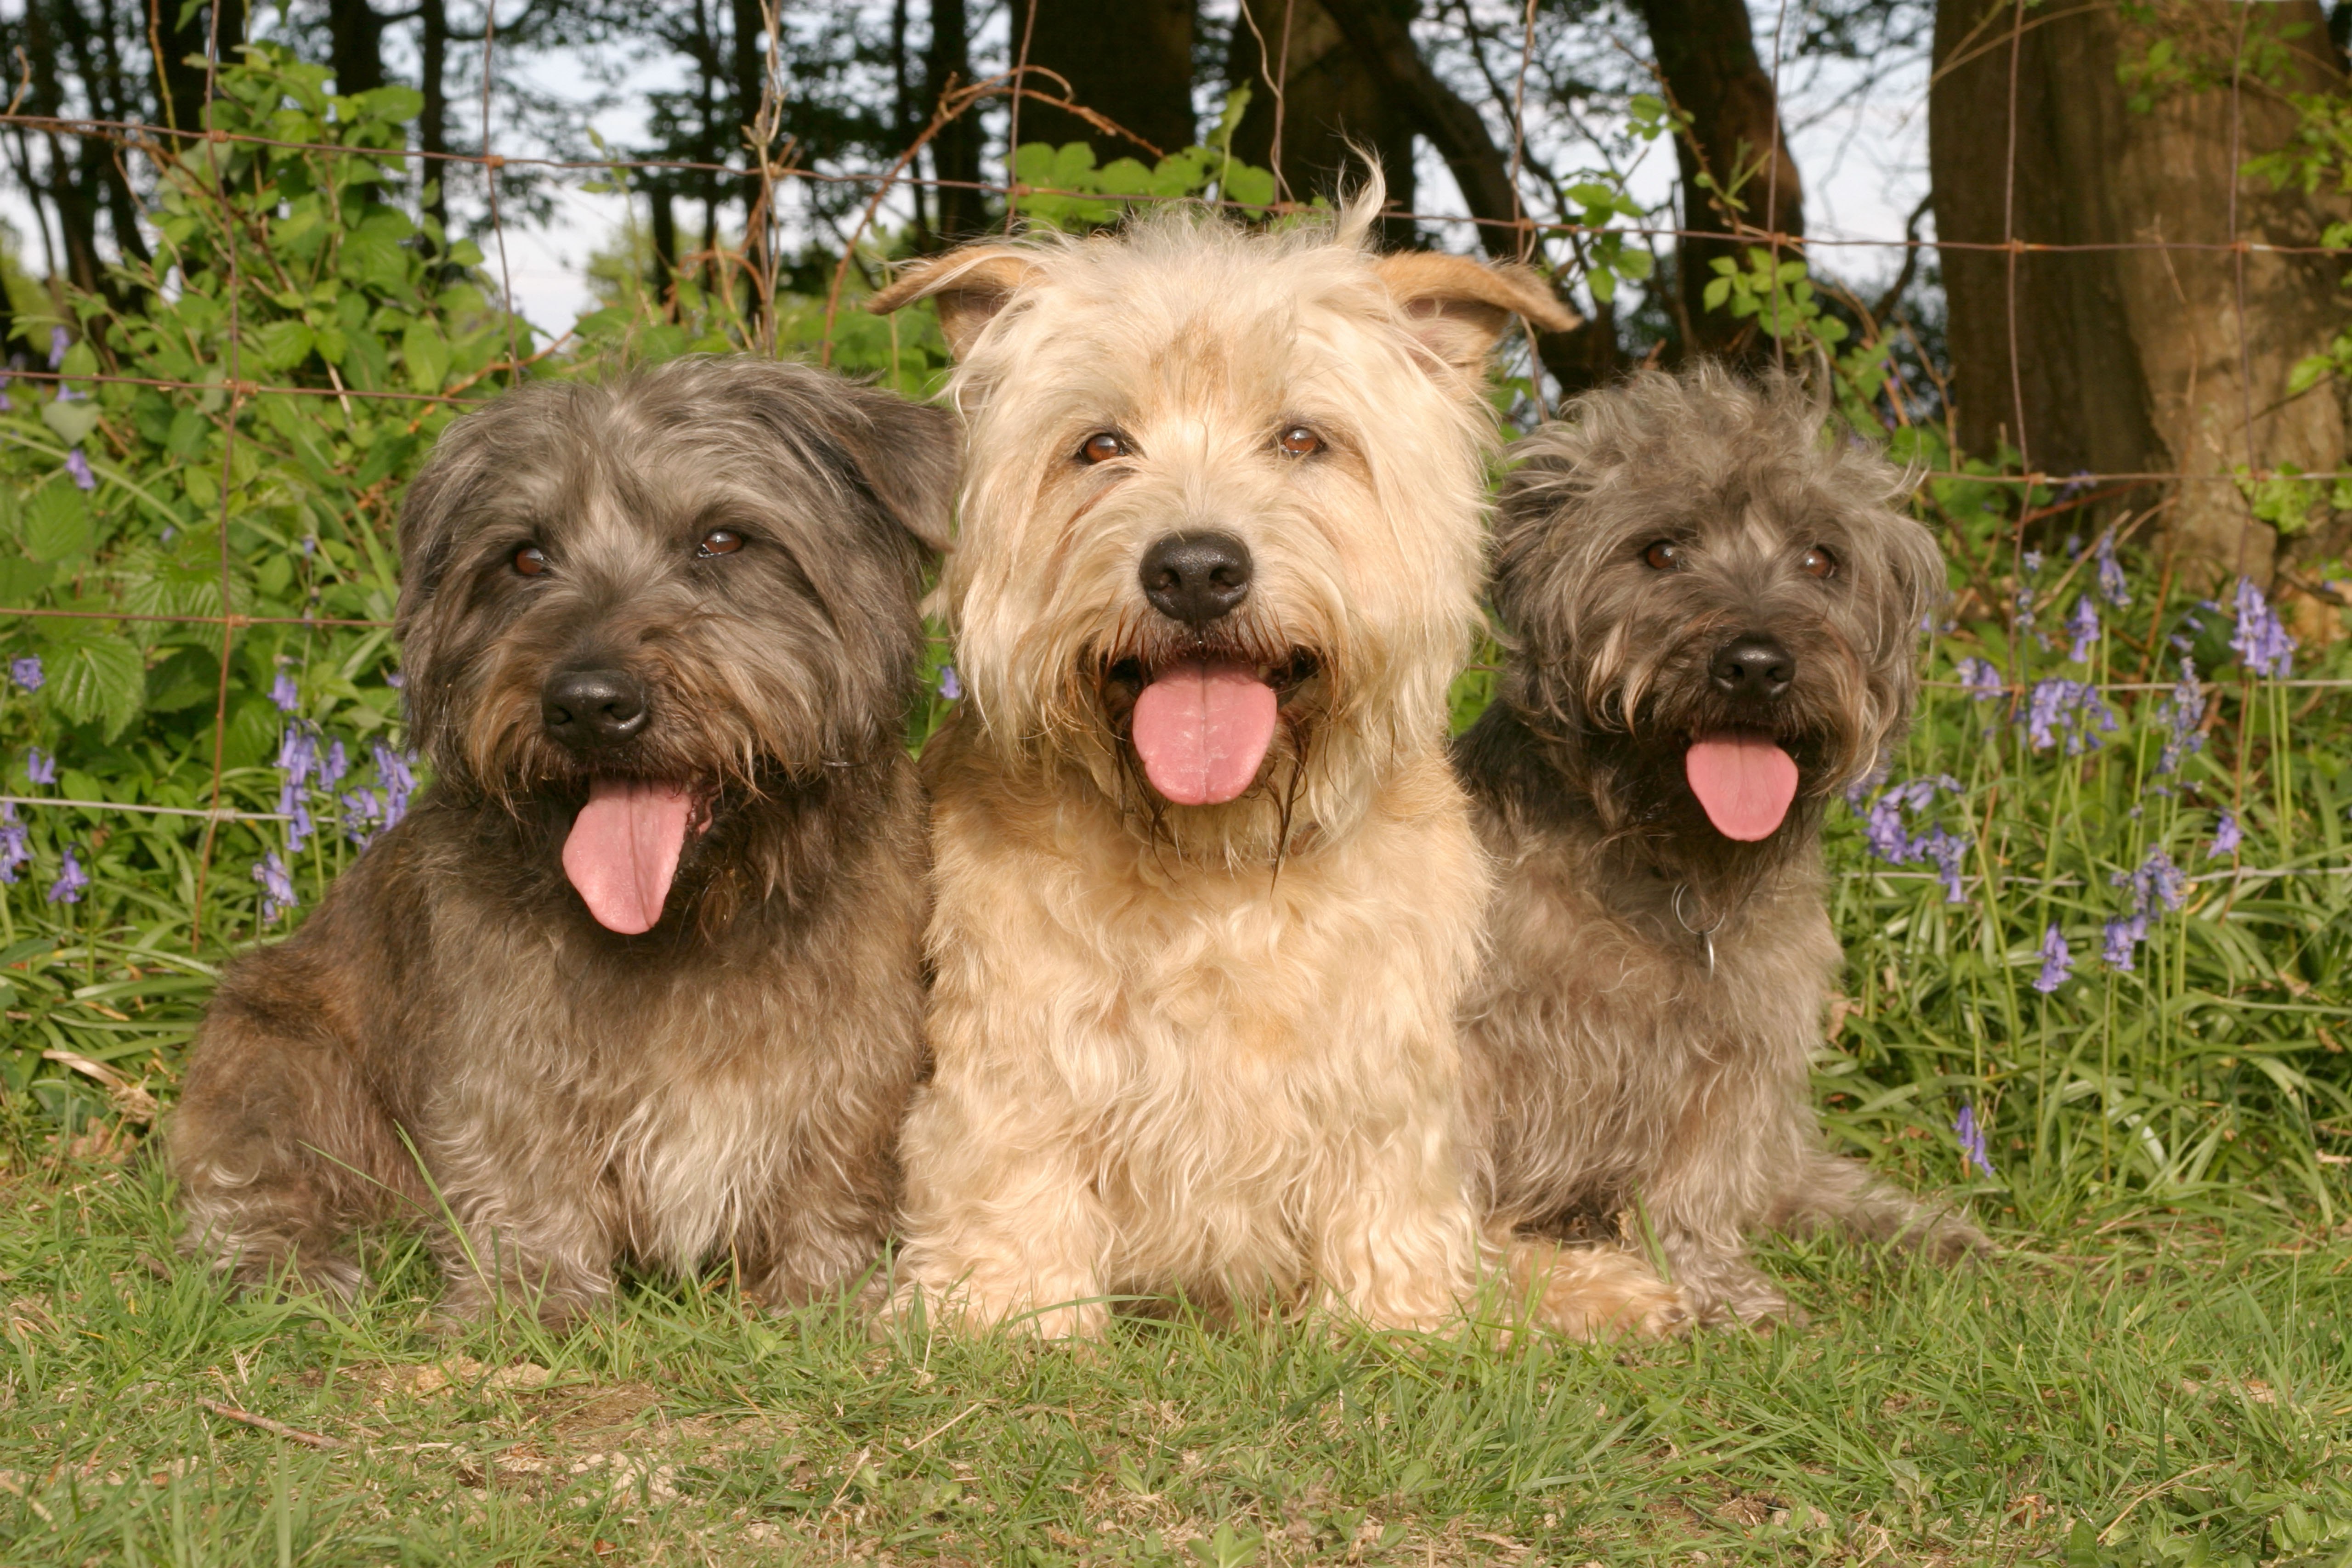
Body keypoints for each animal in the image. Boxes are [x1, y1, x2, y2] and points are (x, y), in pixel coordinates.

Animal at [165, 359, 955, 1325]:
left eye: (722, 539)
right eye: (525, 557)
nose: (587, 702)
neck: (688, 922)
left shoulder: (862, 1054)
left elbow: (835, 1163)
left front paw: (826, 1293)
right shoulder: (498, 1054)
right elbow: (521, 1162)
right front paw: (533, 1300)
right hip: (273, 1041)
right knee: (256, 1176)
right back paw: (288, 1265)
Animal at [1449, 364, 1985, 1325]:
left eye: (1820, 558)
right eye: (1659, 551)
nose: (1756, 664)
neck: (1668, 864)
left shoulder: (1738, 1051)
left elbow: (1694, 1190)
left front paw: (1715, 1288)